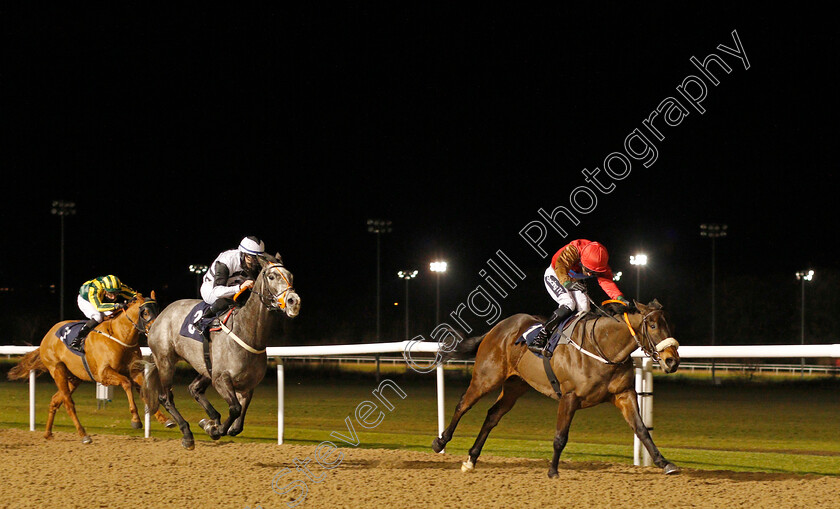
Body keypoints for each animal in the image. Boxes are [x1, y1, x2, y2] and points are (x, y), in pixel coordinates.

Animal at [6, 292, 174, 442]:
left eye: (158, 310)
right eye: (145, 312)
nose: (156, 330)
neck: (119, 335)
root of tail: (46, 337)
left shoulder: (134, 371)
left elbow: (144, 389)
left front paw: (165, 419)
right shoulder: (104, 374)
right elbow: (126, 383)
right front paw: (135, 419)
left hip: (74, 378)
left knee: (55, 400)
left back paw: (48, 433)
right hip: (57, 370)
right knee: (68, 403)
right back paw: (84, 435)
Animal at [143, 253, 300, 448]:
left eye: (291, 276)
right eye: (271, 276)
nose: (294, 301)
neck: (246, 332)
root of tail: (160, 316)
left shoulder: (247, 386)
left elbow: (237, 425)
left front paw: (211, 425)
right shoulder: (221, 379)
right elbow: (235, 409)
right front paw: (215, 430)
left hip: (205, 366)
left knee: (194, 389)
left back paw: (211, 419)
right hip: (165, 361)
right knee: (166, 397)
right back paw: (187, 433)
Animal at [430, 298, 680, 476]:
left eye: (669, 324)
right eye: (653, 325)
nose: (672, 361)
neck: (602, 348)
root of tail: (497, 328)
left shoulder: (624, 394)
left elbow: (641, 429)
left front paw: (665, 463)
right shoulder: (569, 397)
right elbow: (560, 436)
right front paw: (553, 471)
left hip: (516, 385)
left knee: (493, 415)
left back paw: (471, 459)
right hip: (486, 377)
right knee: (463, 404)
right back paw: (440, 441)